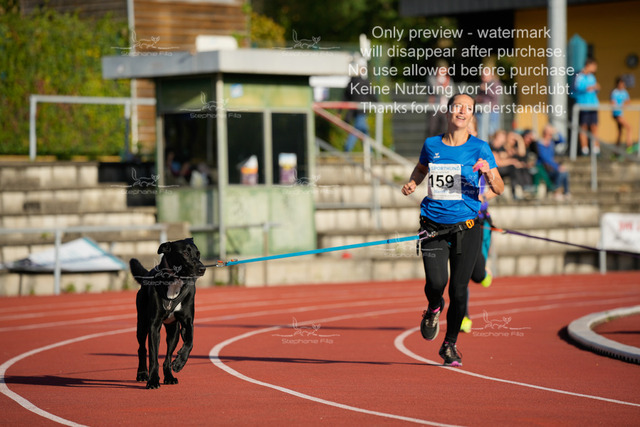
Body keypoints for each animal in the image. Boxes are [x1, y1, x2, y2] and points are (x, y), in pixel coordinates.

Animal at [129, 238, 206, 389]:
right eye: (185, 253)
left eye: (198, 254)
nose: (202, 268)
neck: (175, 282)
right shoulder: (154, 326)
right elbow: (153, 357)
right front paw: (153, 380)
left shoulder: (188, 323)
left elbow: (190, 342)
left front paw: (179, 362)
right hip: (142, 325)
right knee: (142, 349)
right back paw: (142, 373)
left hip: (173, 331)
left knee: (167, 357)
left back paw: (169, 376)